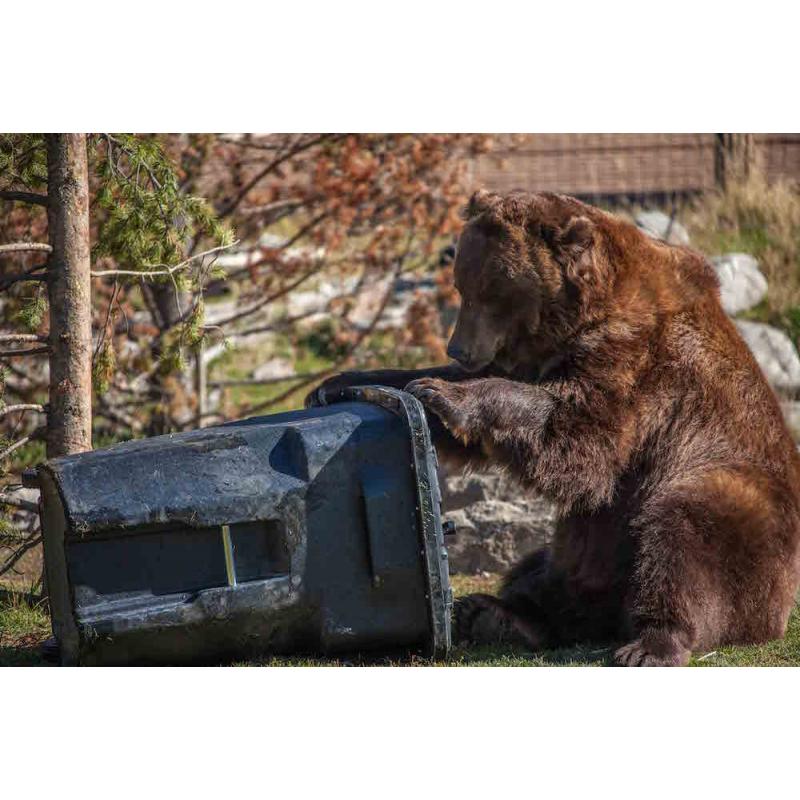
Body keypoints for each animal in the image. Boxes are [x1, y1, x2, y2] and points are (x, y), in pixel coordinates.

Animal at [310, 191, 800, 664]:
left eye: (491, 291)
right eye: (461, 285)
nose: (458, 349)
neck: (576, 318)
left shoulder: (637, 361)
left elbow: (583, 438)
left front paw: (443, 395)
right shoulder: (537, 356)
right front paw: (345, 383)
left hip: (730, 495)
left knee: (683, 535)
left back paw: (651, 643)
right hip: (577, 561)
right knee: (545, 574)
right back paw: (497, 614)